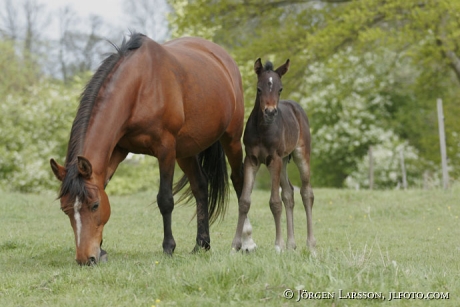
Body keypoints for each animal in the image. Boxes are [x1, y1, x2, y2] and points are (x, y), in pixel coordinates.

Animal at [48, 32, 246, 266]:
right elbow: (103, 184)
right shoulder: (118, 150)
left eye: (94, 205)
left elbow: (165, 199)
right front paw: (102, 249)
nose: (85, 259)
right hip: (186, 151)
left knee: (239, 182)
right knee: (200, 186)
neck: (140, 86)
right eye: (65, 209)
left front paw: (168, 247)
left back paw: (244, 242)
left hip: (231, 139)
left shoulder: (165, 149)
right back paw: (201, 244)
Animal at [232, 59, 314, 254]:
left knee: (306, 193)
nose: (270, 112)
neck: (263, 129)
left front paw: (278, 245)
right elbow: (244, 201)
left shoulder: (273, 160)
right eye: (259, 89)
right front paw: (236, 245)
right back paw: (291, 244)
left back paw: (310, 244)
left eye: (280, 89)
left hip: (300, 155)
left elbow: (275, 202)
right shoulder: (251, 160)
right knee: (289, 193)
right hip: (284, 161)